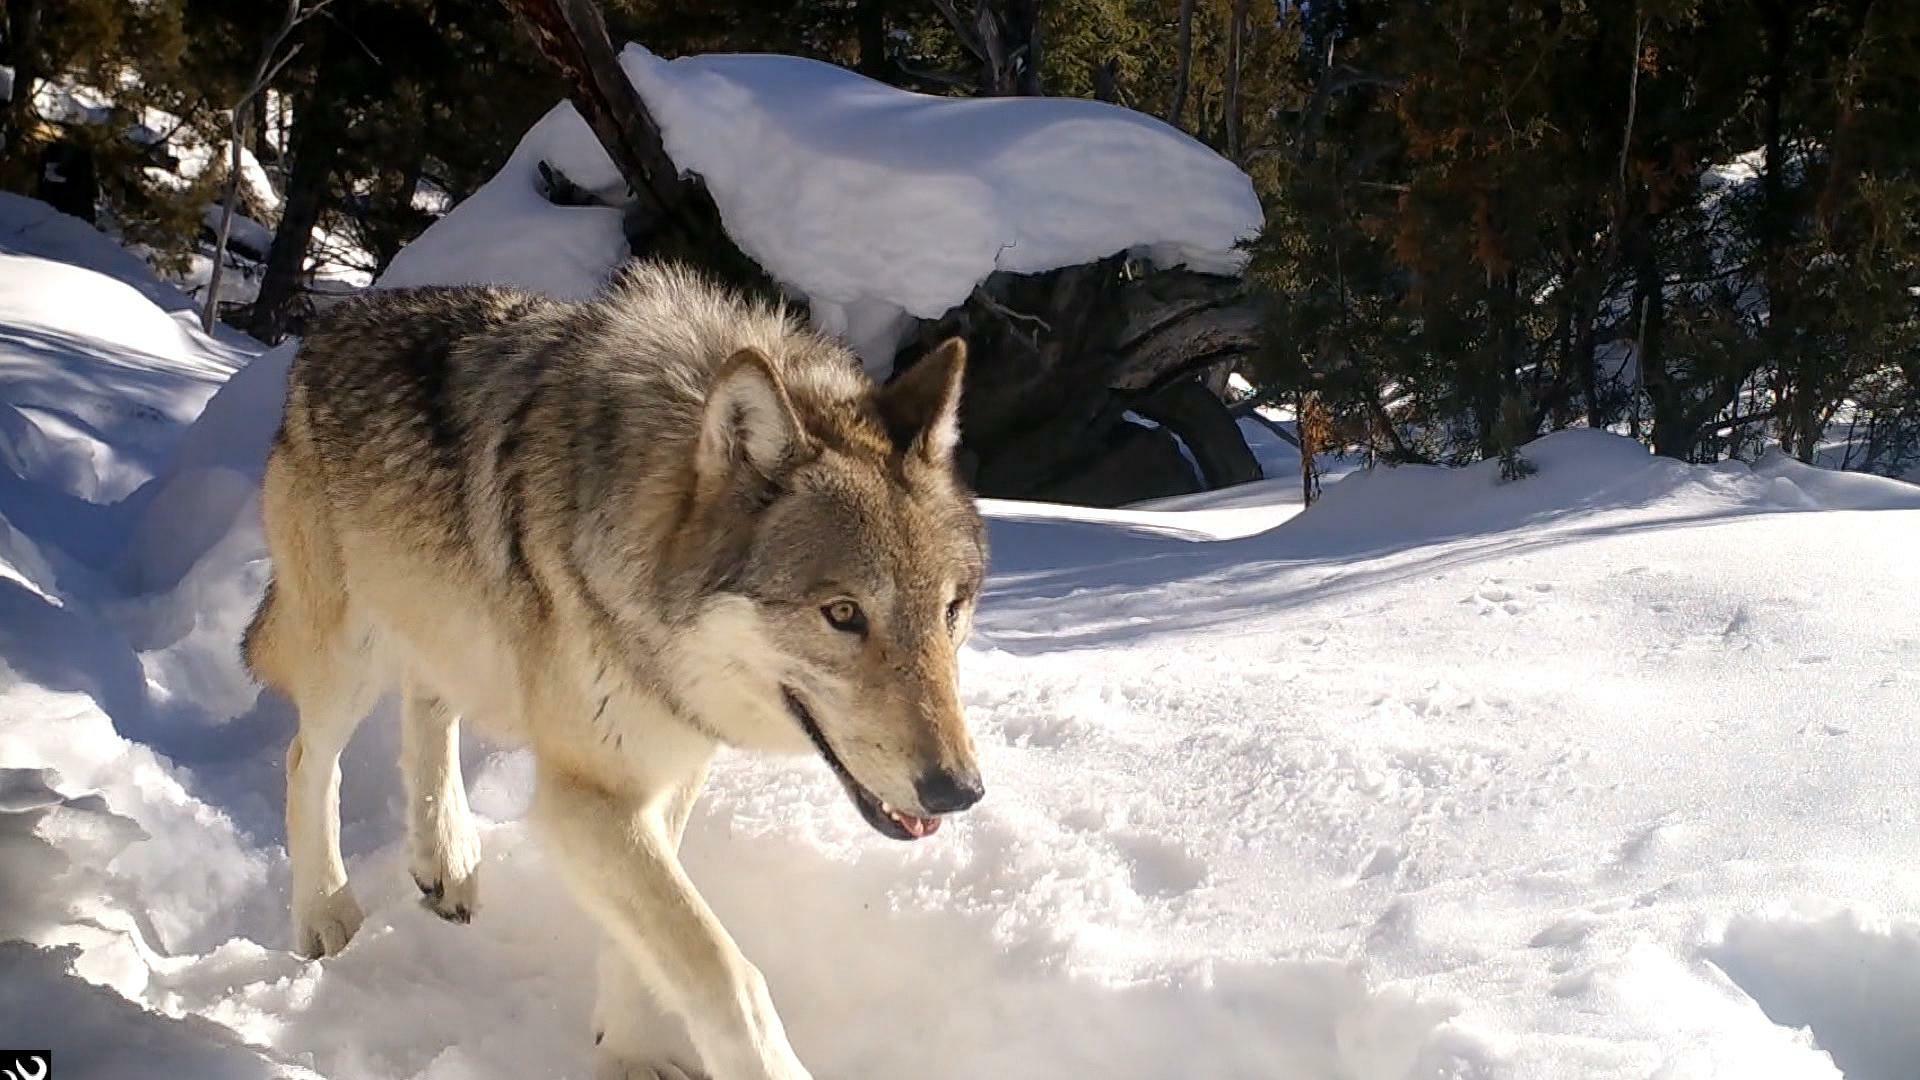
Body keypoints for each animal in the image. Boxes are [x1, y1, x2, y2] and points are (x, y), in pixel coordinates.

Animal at [243, 262, 988, 1080]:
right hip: (349, 651)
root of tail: (336, 320)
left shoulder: (669, 766)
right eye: (845, 613)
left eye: (952, 609)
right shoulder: (587, 792)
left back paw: (448, 857)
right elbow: (723, 972)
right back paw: (326, 911)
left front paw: (628, 1049)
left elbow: (651, 942)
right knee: (306, 759)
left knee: (429, 703)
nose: (960, 791)